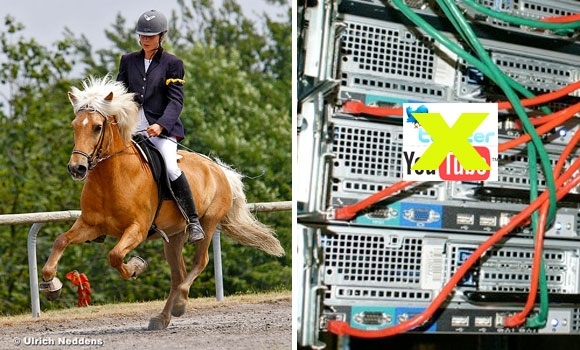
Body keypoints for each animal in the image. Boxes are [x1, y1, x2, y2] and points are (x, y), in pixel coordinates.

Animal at [39, 74, 286, 330]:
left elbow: (115, 256)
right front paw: (51, 285)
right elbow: (61, 240)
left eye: (97, 127)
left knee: (200, 261)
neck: (113, 178)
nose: (76, 168)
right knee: (178, 275)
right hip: (175, 235)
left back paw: (180, 304)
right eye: (74, 126)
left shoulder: (137, 230)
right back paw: (162, 317)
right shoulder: (90, 225)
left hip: (208, 224)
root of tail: (219, 169)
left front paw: (136, 267)